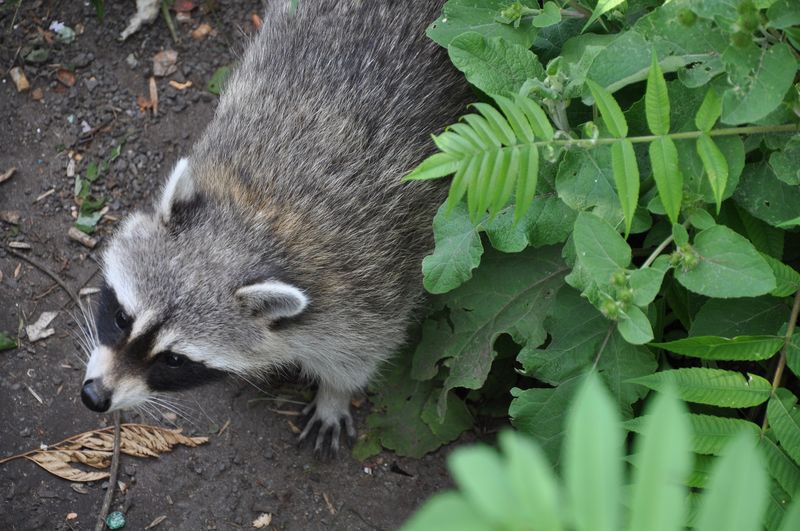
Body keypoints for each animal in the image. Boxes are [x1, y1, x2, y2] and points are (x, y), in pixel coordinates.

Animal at [80, 0, 472, 454]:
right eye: (122, 318)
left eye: (175, 359)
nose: (95, 397)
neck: (258, 215)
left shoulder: (371, 287)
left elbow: (363, 350)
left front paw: (335, 394)